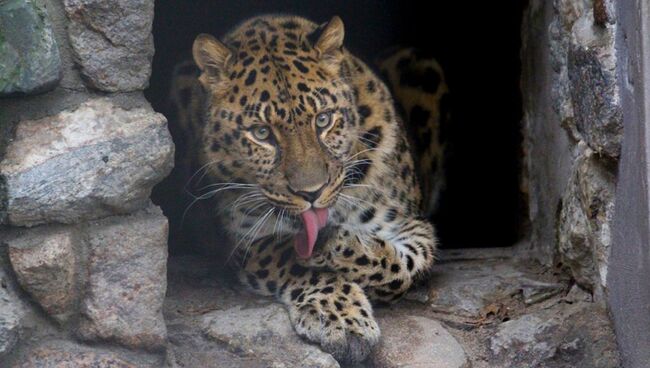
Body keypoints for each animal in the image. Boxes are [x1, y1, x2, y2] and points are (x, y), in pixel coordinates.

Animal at [170, 15, 448, 366]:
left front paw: (333, 245)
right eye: (261, 133)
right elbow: (290, 258)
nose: (311, 193)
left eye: (324, 120)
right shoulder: (244, 241)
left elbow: (403, 267)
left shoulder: (410, 225)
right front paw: (341, 317)